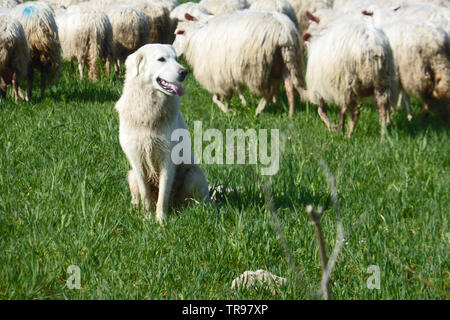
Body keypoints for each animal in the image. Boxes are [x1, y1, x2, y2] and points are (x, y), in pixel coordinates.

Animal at [115, 43, 208, 225]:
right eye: (161, 59)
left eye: (177, 58)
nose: (184, 72)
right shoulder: (136, 160)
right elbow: (145, 194)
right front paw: (147, 218)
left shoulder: (167, 159)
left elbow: (163, 195)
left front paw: (160, 221)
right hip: (131, 175)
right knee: (137, 197)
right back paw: (134, 210)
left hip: (194, 174)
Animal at [172, 10, 306, 117]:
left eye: (180, 32)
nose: (173, 51)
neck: (196, 34)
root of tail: (285, 32)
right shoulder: (227, 73)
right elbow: (232, 92)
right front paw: (235, 105)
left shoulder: (216, 75)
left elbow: (217, 97)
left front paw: (227, 110)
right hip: (286, 62)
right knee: (289, 88)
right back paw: (290, 115)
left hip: (260, 67)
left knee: (269, 90)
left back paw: (258, 111)